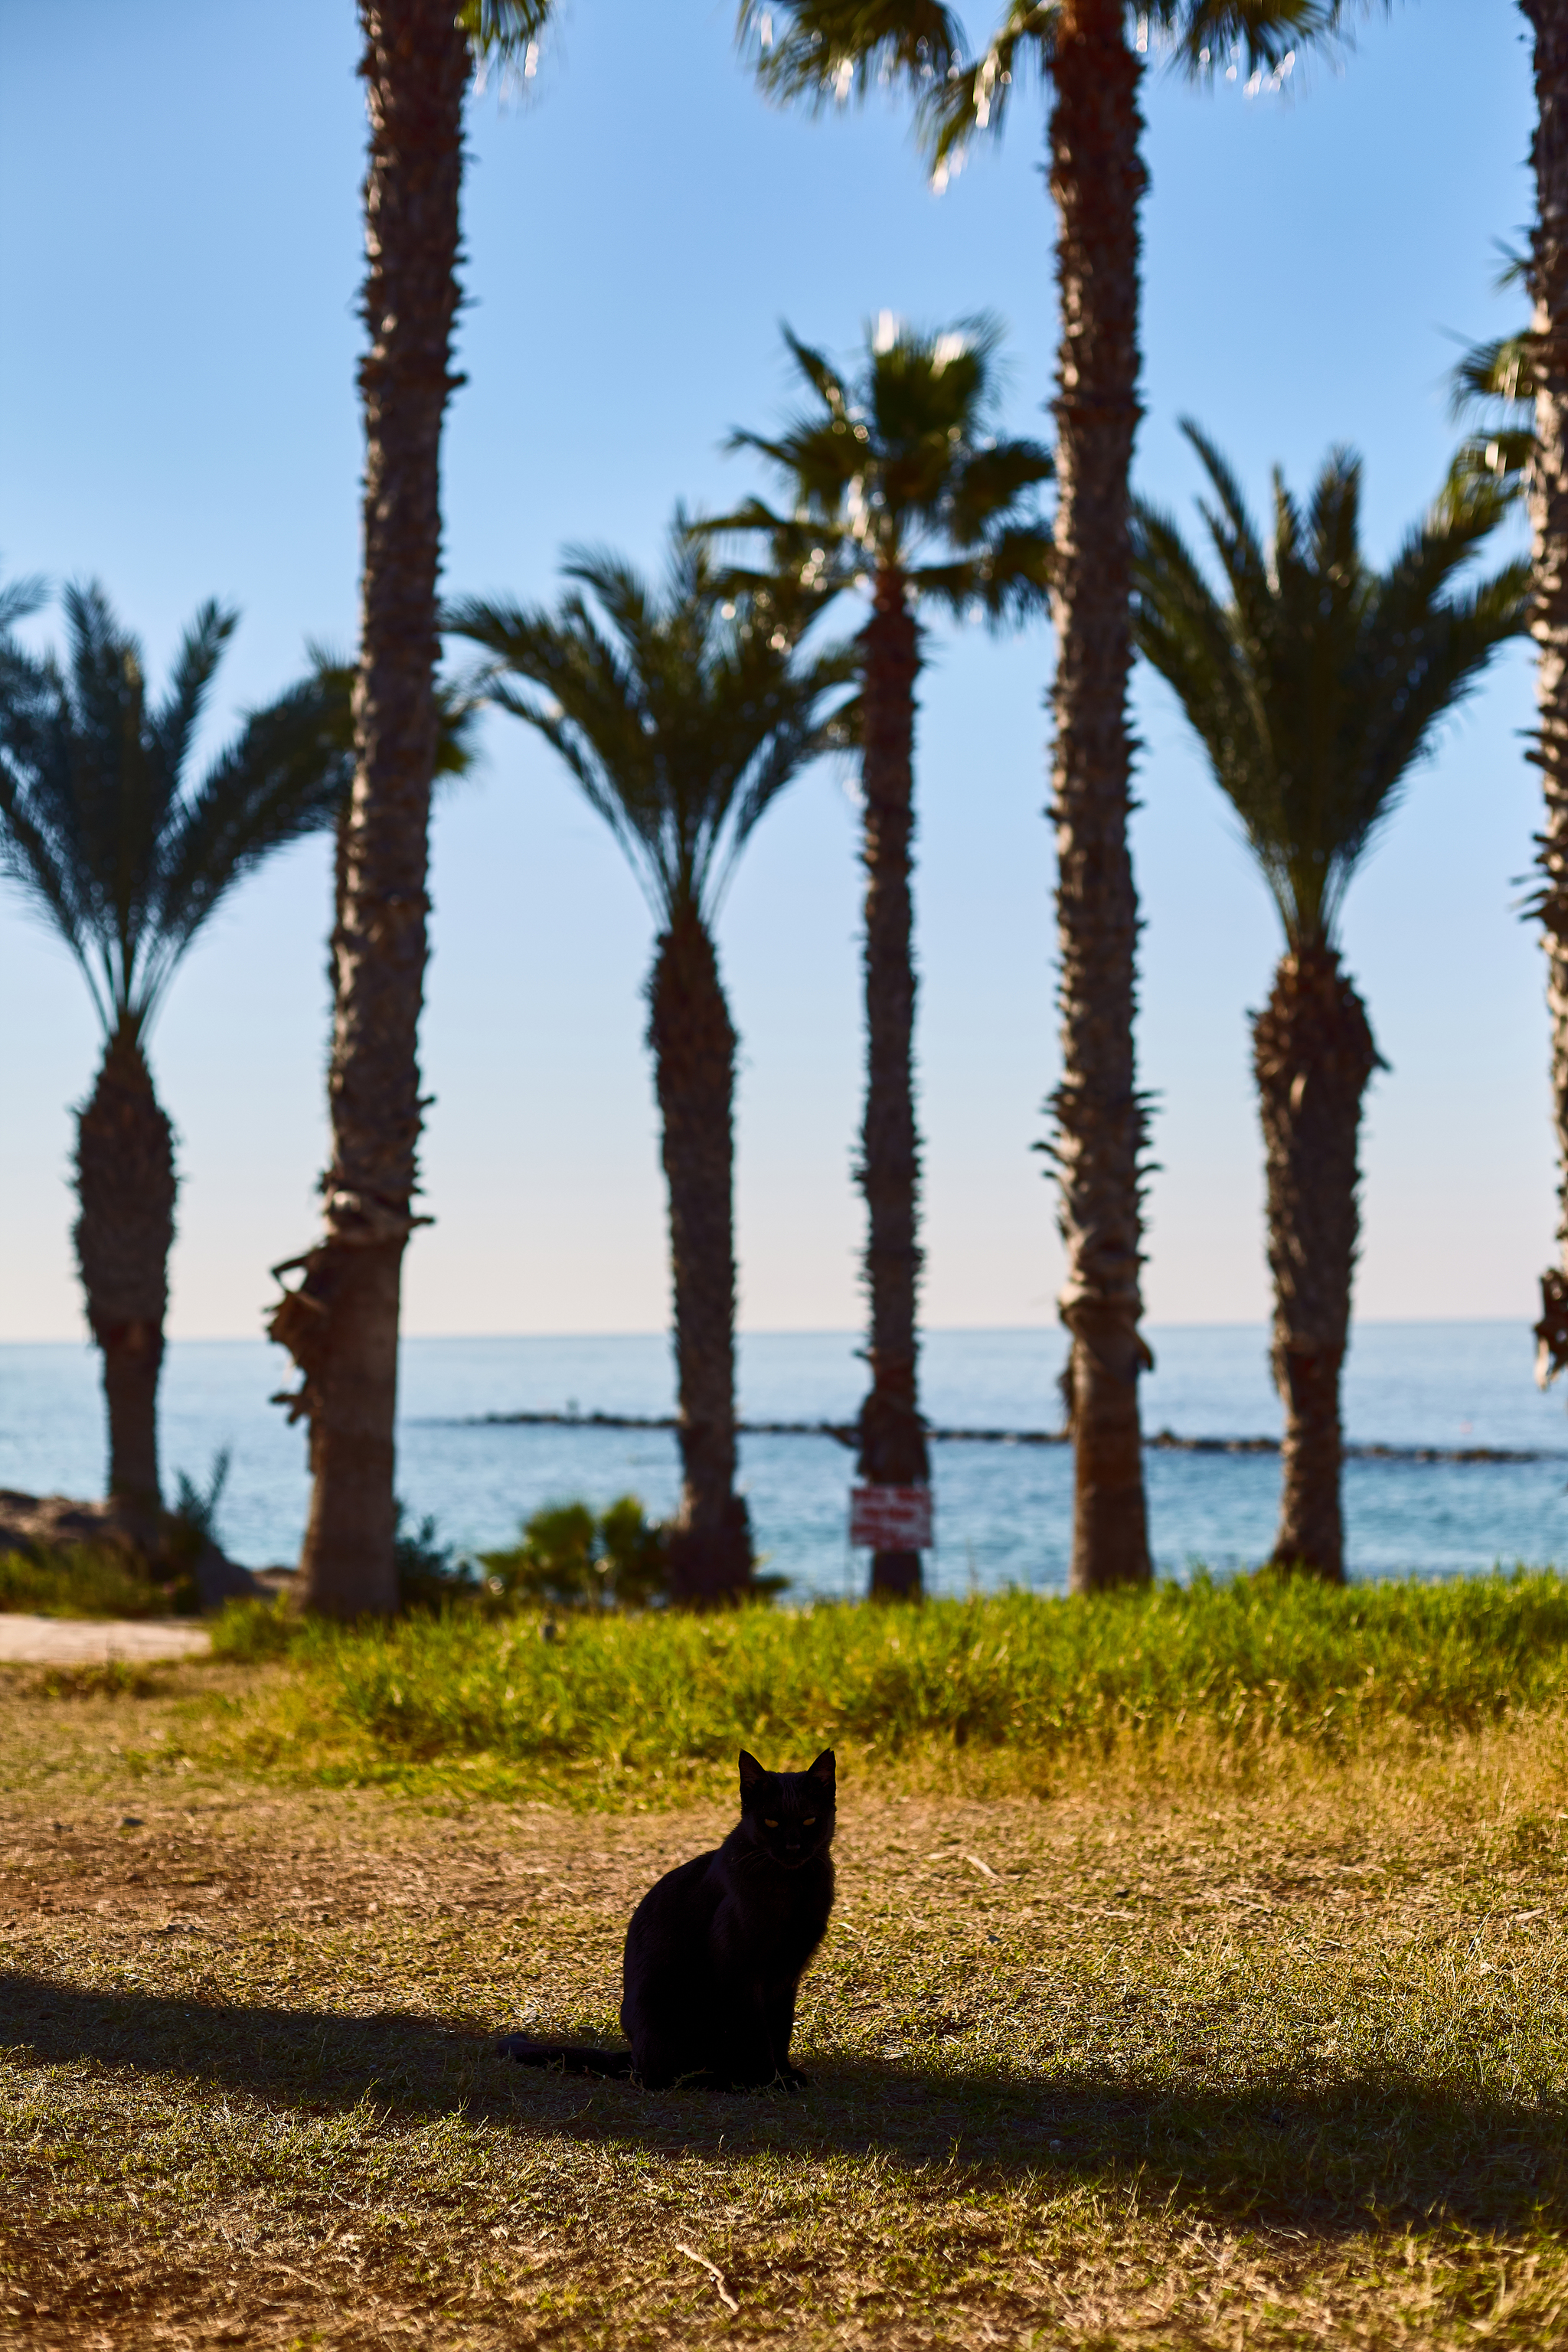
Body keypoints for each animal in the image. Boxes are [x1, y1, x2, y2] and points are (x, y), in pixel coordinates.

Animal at [503, 1749, 831, 2098]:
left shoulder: (787, 1974)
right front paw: (769, 2082)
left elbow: (780, 2030)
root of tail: (633, 2056)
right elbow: (757, 2036)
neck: (792, 1887)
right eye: (771, 1822)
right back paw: (724, 2082)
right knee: (661, 2077)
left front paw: (784, 2074)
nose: (793, 1847)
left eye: (810, 1821)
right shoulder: (741, 1973)